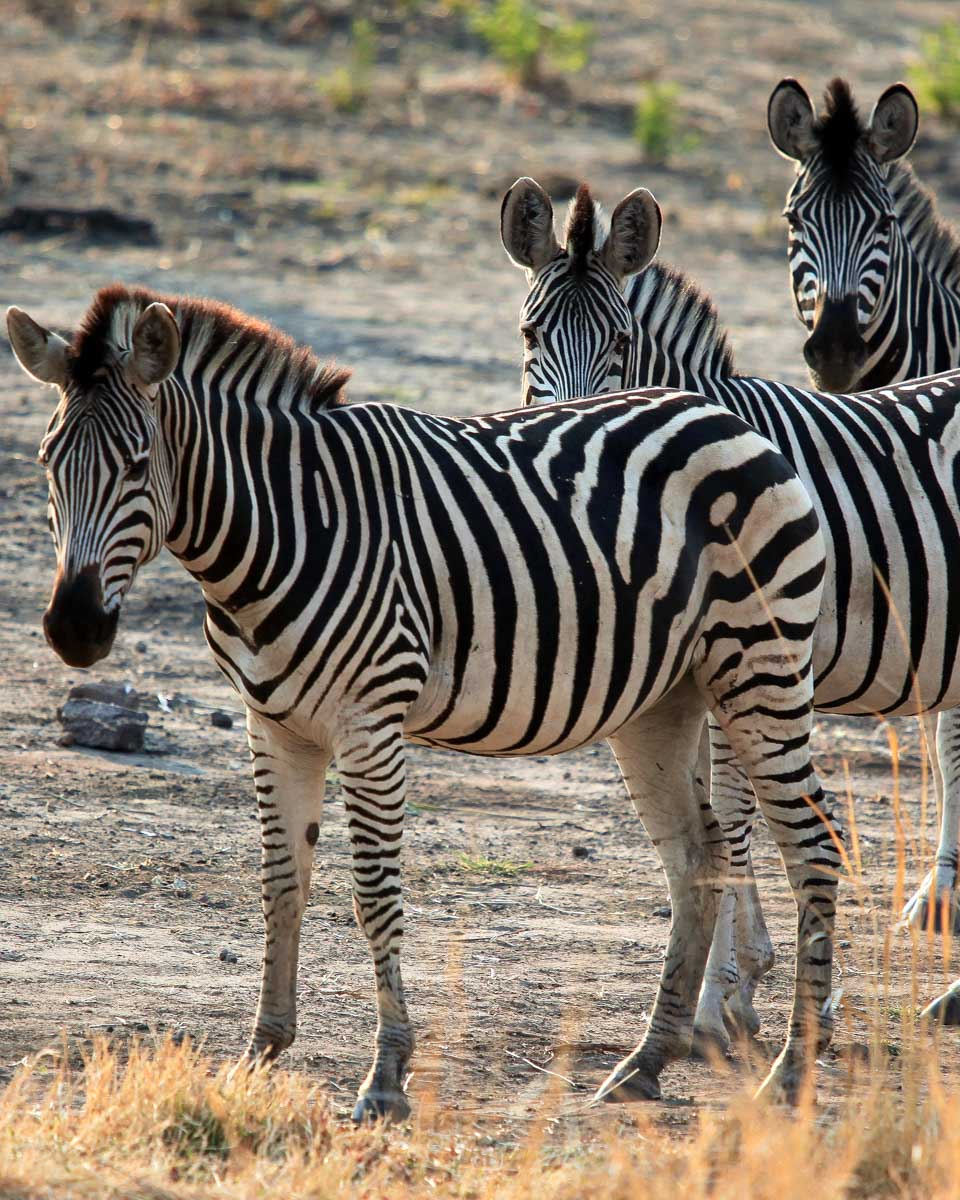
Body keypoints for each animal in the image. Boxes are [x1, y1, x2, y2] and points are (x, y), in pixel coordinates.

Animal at [7, 286, 833, 1118]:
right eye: (46, 464)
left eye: (138, 465)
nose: (74, 629)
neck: (282, 528)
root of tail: (728, 420)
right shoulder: (272, 725)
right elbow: (281, 883)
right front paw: (261, 1051)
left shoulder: (371, 723)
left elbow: (374, 893)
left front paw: (386, 1075)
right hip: (661, 702)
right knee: (699, 855)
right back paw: (645, 1062)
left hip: (761, 668)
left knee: (813, 844)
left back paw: (796, 1065)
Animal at [500, 177, 960, 1053]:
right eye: (531, 334)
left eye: (620, 343)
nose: (568, 459)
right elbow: (719, 812)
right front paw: (748, 984)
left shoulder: (745, 656)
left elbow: (733, 811)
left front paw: (721, 999)